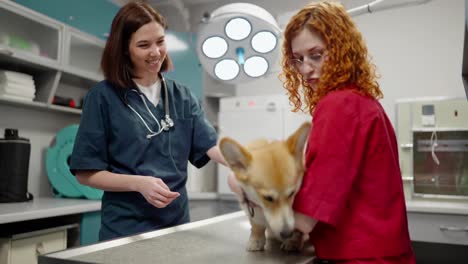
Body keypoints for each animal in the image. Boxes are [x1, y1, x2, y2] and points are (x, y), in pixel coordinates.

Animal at [219, 121, 310, 252]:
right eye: (268, 198)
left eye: (292, 193)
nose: (287, 233)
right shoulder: (250, 206)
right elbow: (256, 225)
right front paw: (256, 240)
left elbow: (299, 230)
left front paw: (293, 241)